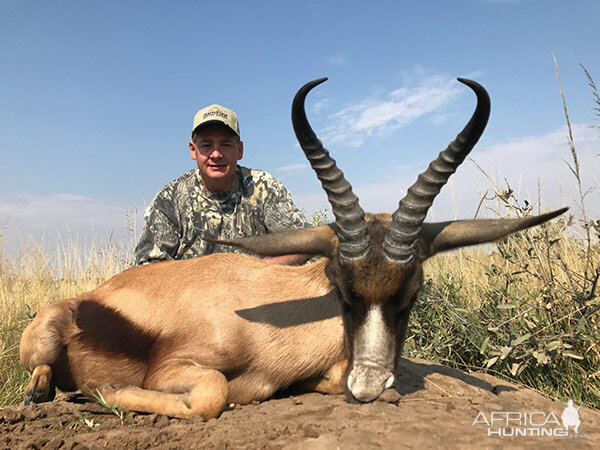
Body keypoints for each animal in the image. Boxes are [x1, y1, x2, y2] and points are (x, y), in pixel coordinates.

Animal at [21, 76, 564, 418]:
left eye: (412, 294)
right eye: (343, 291)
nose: (368, 386)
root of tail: (86, 298)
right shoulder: (174, 369)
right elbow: (215, 394)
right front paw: (108, 391)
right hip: (42, 342)